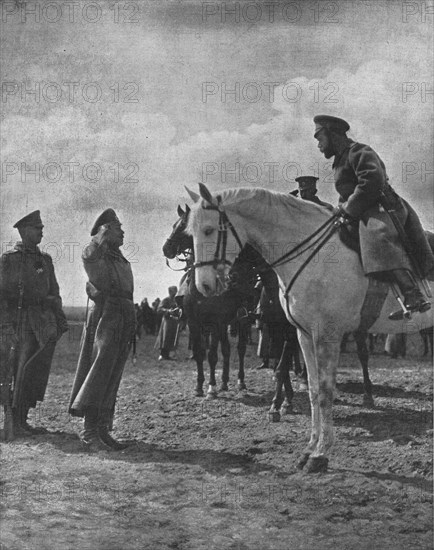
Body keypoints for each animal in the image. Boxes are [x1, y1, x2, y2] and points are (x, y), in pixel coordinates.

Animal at [163, 205, 258, 398]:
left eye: (183, 226)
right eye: (174, 224)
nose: (166, 248)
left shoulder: (216, 322)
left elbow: (213, 355)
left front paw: (211, 387)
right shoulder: (194, 322)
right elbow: (200, 353)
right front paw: (200, 386)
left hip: (242, 321)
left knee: (240, 349)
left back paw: (240, 382)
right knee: (227, 349)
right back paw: (225, 382)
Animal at [187, 184, 434, 474]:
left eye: (208, 230)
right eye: (190, 233)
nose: (203, 286)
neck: (310, 254)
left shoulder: (327, 336)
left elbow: (326, 392)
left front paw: (321, 454)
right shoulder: (304, 336)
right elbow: (314, 391)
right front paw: (309, 449)